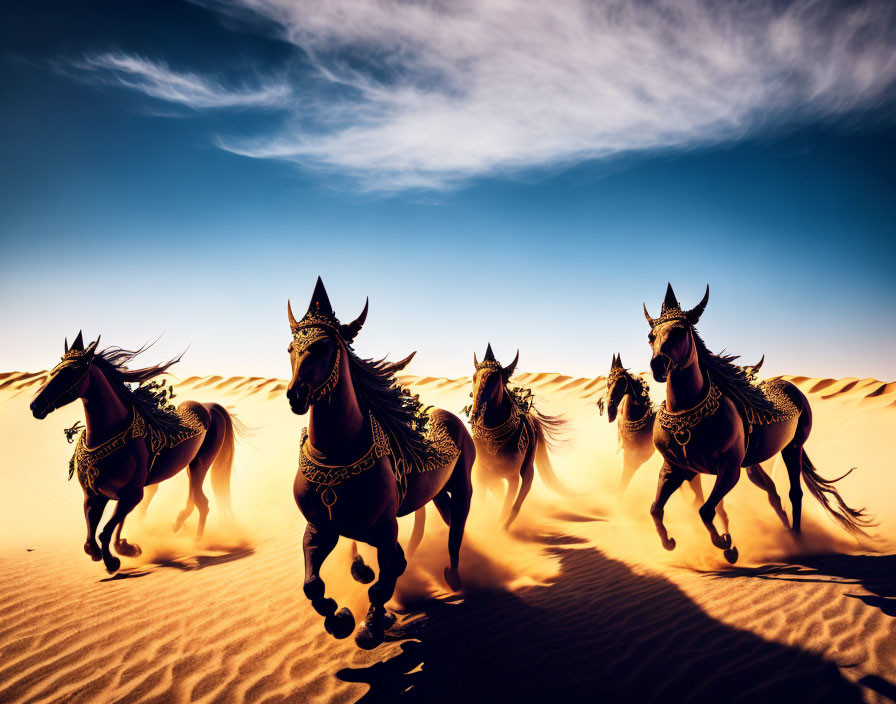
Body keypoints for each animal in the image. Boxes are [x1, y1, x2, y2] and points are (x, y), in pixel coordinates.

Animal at [31, 334, 236, 572]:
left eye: (70, 372)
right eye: (54, 370)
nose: (35, 406)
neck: (108, 433)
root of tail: (210, 406)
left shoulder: (131, 493)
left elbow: (105, 531)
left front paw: (114, 560)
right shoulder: (94, 496)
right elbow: (91, 539)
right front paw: (124, 548)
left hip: (199, 465)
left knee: (201, 502)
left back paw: (195, 540)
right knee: (192, 501)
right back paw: (177, 528)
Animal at [288, 278, 476, 652]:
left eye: (322, 346)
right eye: (291, 348)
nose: (295, 396)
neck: (336, 455)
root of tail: (450, 416)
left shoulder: (385, 528)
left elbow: (383, 582)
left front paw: (371, 626)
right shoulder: (320, 528)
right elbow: (313, 584)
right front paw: (340, 619)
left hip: (464, 486)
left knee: (456, 531)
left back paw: (454, 578)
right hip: (436, 493)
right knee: (445, 520)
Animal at [466, 346, 572, 528]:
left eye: (494, 380)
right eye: (474, 377)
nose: (475, 413)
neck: (493, 437)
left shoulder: (512, 477)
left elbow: (507, 503)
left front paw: (499, 526)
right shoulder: (480, 475)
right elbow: (481, 502)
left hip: (527, 467)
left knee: (522, 492)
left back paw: (506, 526)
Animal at [640, 284, 872, 564]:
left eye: (679, 331)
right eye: (651, 336)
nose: (658, 366)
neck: (688, 416)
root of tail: (791, 386)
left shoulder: (729, 470)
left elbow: (706, 510)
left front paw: (726, 544)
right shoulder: (675, 469)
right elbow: (656, 508)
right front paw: (670, 543)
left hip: (792, 448)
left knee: (795, 492)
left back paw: (798, 540)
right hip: (753, 464)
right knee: (773, 493)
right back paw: (786, 531)